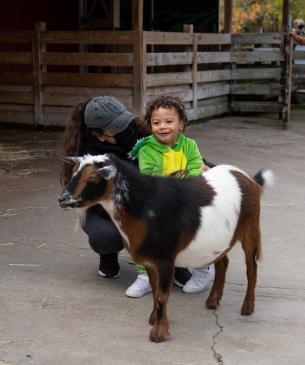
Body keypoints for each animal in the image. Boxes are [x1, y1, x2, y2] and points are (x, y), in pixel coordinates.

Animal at [58, 153, 272, 342]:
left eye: (93, 178)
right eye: (74, 172)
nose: (63, 199)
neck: (145, 205)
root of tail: (249, 179)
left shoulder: (165, 259)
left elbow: (162, 295)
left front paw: (158, 334)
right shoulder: (151, 261)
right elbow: (154, 291)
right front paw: (153, 319)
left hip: (251, 228)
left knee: (251, 268)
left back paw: (247, 308)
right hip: (221, 240)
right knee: (223, 263)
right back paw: (212, 302)